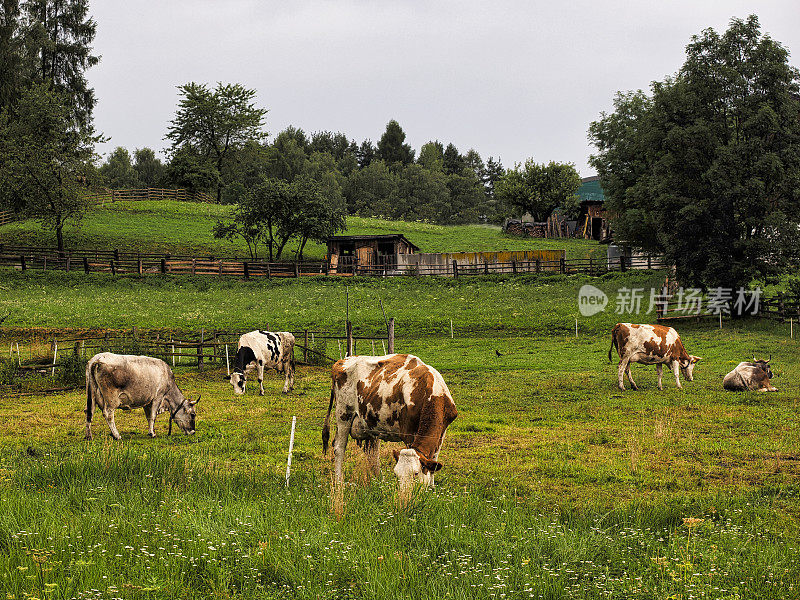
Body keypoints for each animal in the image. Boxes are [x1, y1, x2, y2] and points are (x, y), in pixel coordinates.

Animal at [318, 352, 456, 488]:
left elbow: (433, 459)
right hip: (343, 415)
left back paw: (377, 481)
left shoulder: (442, 431)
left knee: (371, 453)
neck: (431, 390)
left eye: (416, 473)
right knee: (339, 448)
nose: (404, 494)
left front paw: (431, 488)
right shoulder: (408, 431)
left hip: (369, 423)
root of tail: (343, 360)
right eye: (396, 474)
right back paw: (339, 482)